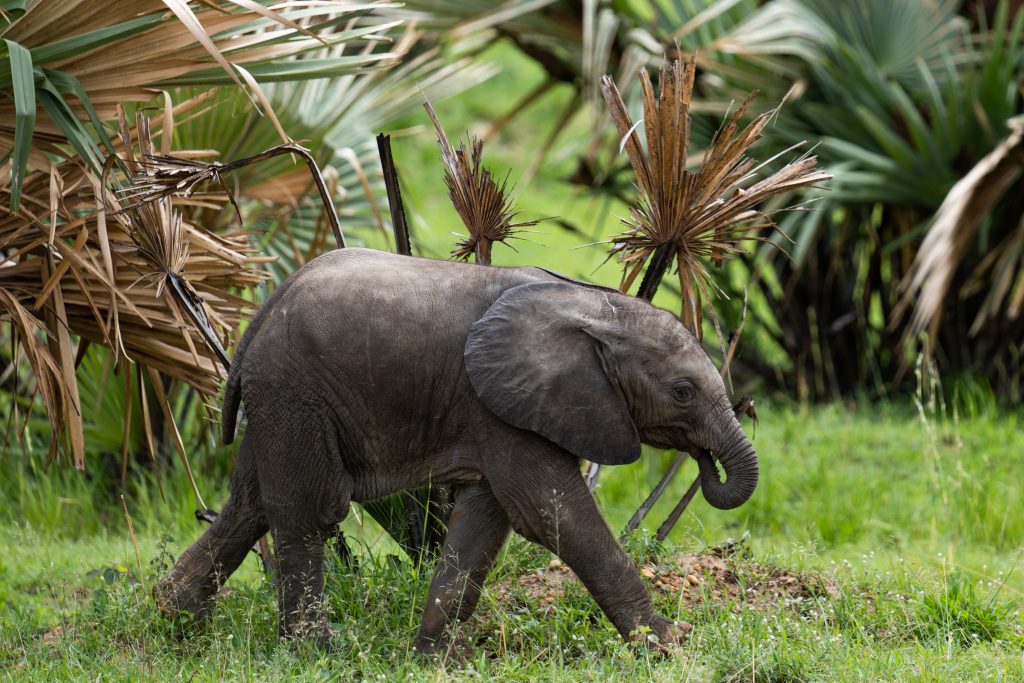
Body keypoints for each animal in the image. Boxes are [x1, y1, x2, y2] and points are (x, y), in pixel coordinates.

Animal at [153, 248, 761, 655]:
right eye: (682, 392)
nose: (706, 460)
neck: (600, 306)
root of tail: (257, 319)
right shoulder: (503, 408)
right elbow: (552, 513)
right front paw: (668, 644)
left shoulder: (500, 414)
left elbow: (485, 520)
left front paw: (439, 655)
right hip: (294, 393)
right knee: (307, 511)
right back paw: (315, 650)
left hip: (280, 400)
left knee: (248, 504)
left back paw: (173, 619)